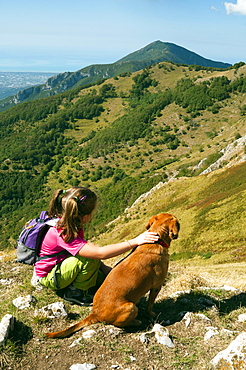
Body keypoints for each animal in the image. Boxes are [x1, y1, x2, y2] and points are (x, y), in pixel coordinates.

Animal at [45, 214, 179, 338]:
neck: (156, 240)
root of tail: (95, 313)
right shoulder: (156, 287)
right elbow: (150, 305)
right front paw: (151, 314)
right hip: (131, 307)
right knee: (120, 324)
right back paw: (136, 322)